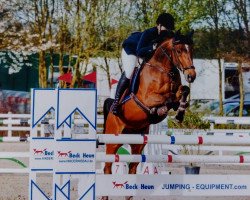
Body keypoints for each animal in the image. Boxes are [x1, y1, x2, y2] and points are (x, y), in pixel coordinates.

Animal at [101, 30, 195, 199]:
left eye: (191, 49)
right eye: (179, 51)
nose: (192, 75)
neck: (164, 69)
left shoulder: (177, 90)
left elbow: (183, 90)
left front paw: (180, 113)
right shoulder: (147, 98)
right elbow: (166, 99)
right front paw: (162, 110)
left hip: (137, 143)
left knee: (132, 168)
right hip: (113, 141)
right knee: (107, 167)